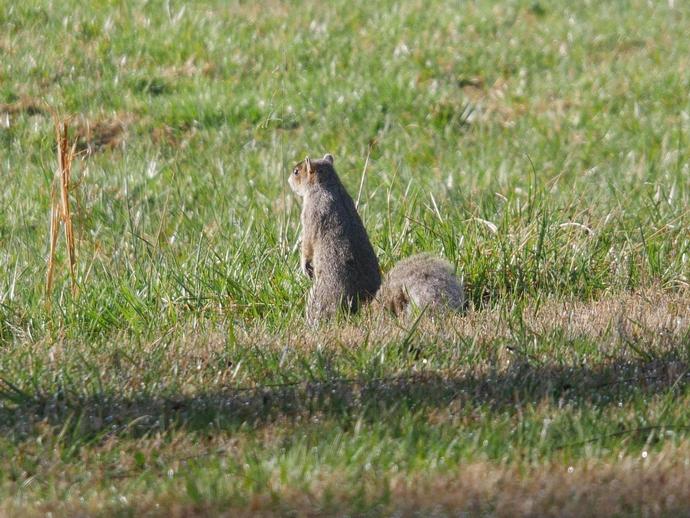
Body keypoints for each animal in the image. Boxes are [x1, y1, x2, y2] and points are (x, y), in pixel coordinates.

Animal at [286, 153, 378, 324]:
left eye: (296, 171)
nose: (289, 180)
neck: (329, 185)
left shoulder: (310, 212)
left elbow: (307, 242)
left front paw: (304, 266)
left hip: (319, 296)